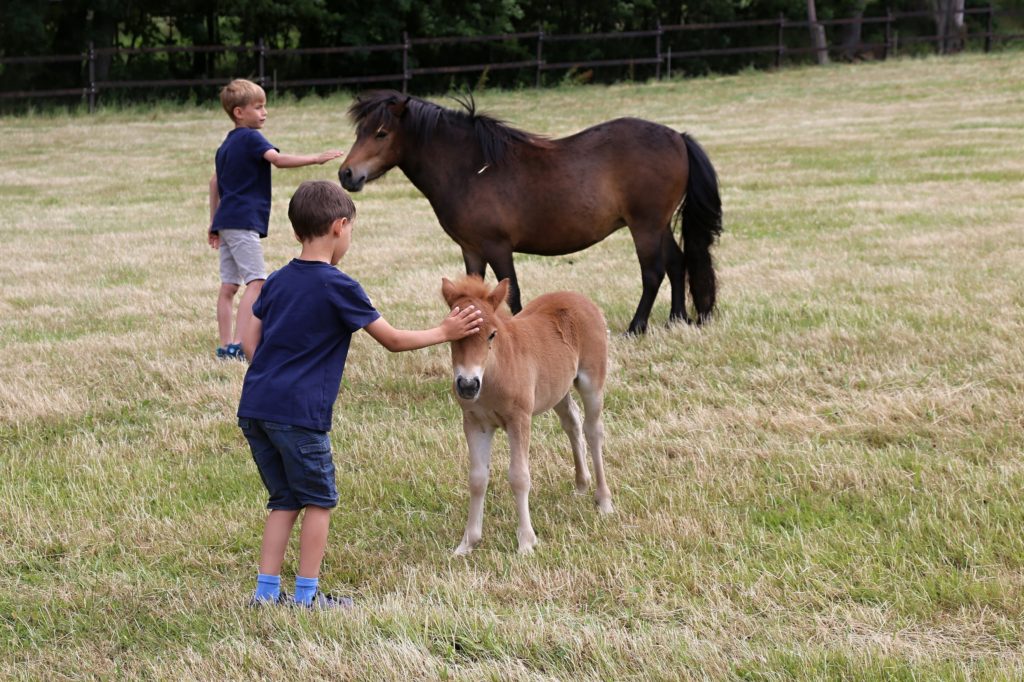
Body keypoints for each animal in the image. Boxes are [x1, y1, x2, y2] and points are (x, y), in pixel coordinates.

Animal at [339, 90, 724, 333]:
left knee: (653, 272)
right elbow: (471, 295)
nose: (347, 174)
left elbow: (513, 295)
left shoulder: (498, 247)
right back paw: (676, 320)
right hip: (659, 225)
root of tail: (677, 136)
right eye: (360, 131)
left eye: (381, 133)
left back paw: (636, 327)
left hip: (645, 226)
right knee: (677, 263)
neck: (471, 169)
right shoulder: (472, 250)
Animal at [442, 274, 614, 552]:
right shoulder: (475, 422)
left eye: (491, 335)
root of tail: (583, 299)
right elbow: (477, 479)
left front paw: (525, 542)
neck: (494, 375)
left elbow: (519, 476)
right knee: (572, 422)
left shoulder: (519, 419)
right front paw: (467, 543)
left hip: (592, 381)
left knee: (593, 431)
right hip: (558, 388)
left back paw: (604, 501)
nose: (468, 385)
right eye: (451, 336)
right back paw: (581, 485)